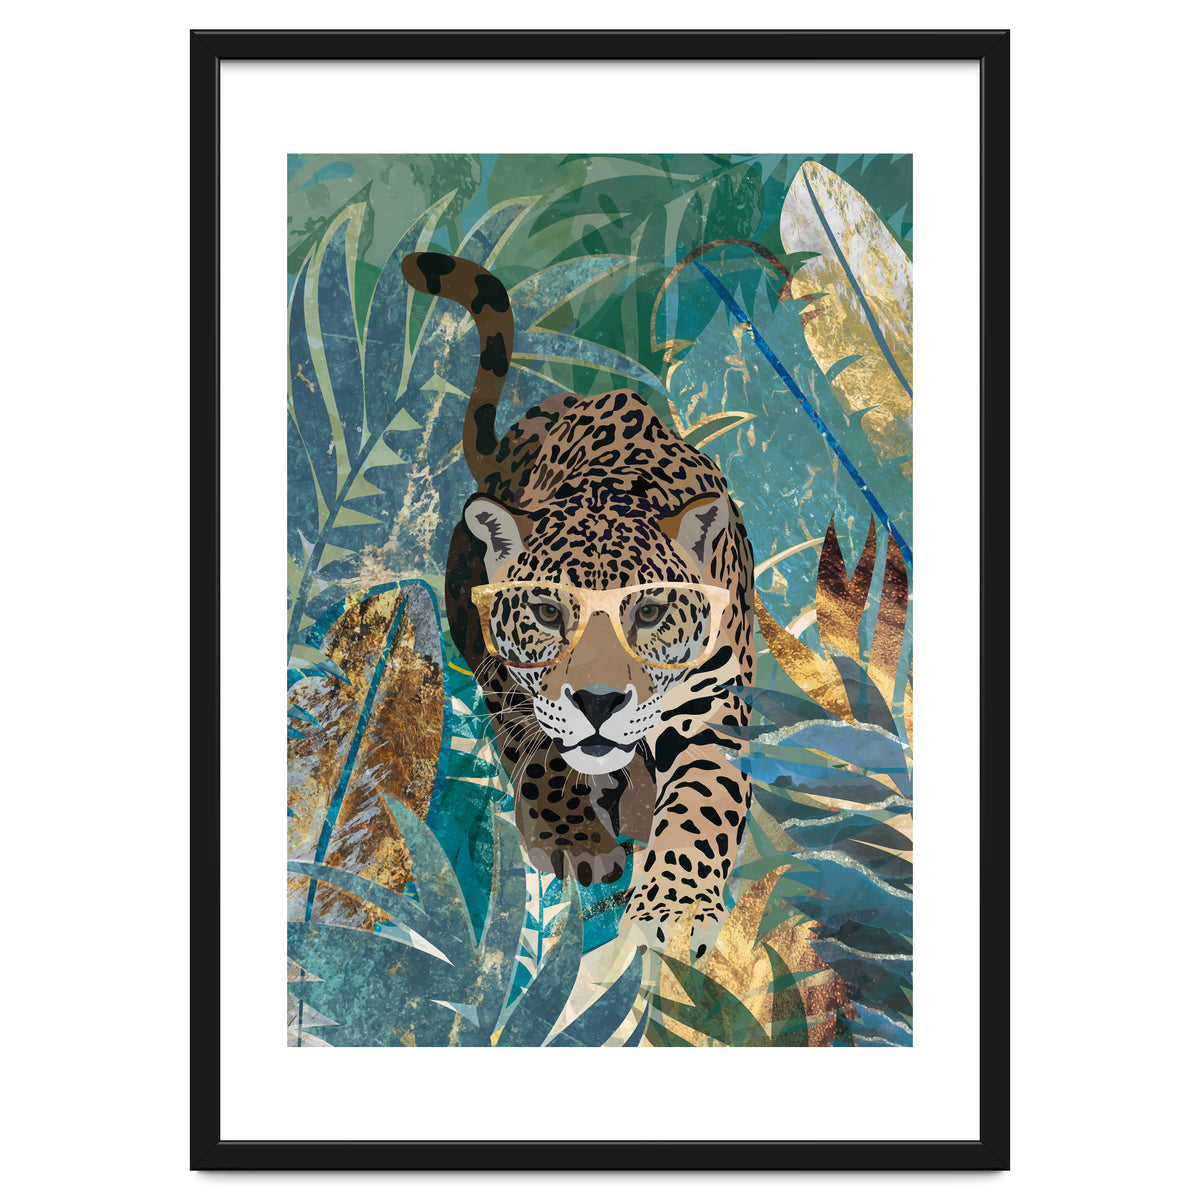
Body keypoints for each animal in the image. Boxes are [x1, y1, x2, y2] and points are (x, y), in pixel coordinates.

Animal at [400, 251, 756, 958]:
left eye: (648, 613)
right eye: (546, 612)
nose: (597, 702)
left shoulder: (713, 708)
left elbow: (702, 802)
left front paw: (674, 909)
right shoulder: (507, 675)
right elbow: (539, 750)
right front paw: (573, 838)